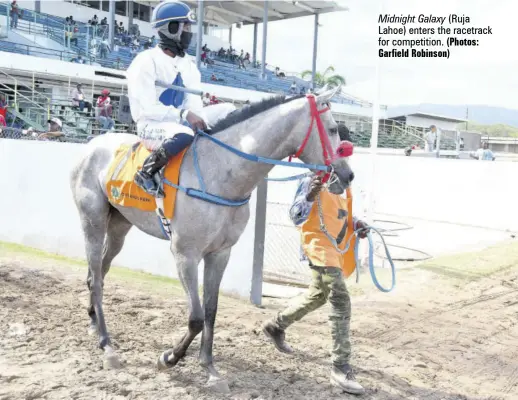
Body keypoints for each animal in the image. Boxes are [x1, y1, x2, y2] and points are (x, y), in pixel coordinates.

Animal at [70, 86, 354, 390]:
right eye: (333, 129)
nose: (348, 175)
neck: (221, 174)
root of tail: (92, 143)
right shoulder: (185, 253)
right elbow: (195, 317)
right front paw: (169, 357)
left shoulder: (220, 253)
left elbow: (210, 312)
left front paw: (209, 368)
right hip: (92, 221)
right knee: (97, 279)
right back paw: (107, 345)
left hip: (119, 226)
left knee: (97, 272)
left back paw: (93, 323)